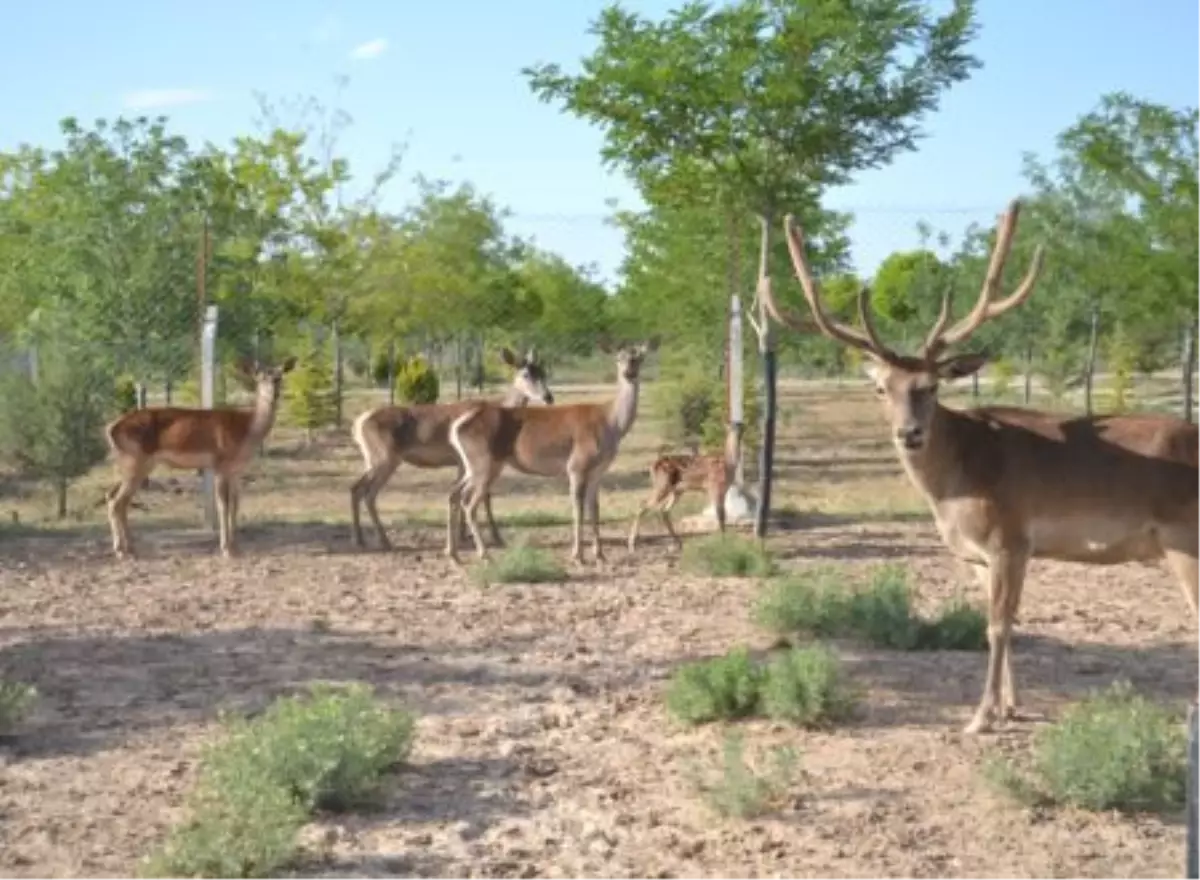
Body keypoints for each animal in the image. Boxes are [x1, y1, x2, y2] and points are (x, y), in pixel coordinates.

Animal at [105, 355, 297, 557]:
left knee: (112, 496)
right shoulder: (220, 464)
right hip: (134, 461)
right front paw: (226, 549)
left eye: (279, 376)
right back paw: (122, 551)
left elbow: (236, 504)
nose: (273, 394)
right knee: (118, 501)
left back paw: (129, 548)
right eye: (259, 378)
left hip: (131, 464)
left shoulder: (237, 470)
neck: (245, 431)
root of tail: (110, 428)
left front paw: (236, 547)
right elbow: (223, 505)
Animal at [348, 345, 552, 552]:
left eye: (543, 372)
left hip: (372, 459)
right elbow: (484, 495)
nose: (548, 397)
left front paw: (463, 534)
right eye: (526, 374)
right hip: (384, 457)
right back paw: (384, 541)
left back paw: (359, 538)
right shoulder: (471, 458)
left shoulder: (461, 461)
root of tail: (358, 423)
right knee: (369, 493)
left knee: (356, 488)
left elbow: (461, 495)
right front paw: (495, 537)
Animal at [448, 336, 662, 561]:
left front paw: (600, 554)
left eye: (639, 357)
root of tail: (458, 425)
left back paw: (454, 553)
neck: (610, 424)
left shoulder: (598, 470)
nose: (629, 373)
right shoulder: (576, 465)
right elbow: (577, 508)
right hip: (484, 465)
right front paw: (578, 555)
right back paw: (484, 554)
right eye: (618, 358)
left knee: (455, 493)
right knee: (469, 504)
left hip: (473, 466)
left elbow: (594, 507)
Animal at [624, 420, 744, 549]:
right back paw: (632, 544)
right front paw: (724, 541)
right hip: (662, 484)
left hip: (676, 490)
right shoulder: (715, 487)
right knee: (644, 504)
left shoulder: (723, 490)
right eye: (731, 425)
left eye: (739, 424)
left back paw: (678, 542)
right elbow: (720, 514)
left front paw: (724, 540)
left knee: (664, 510)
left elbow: (722, 514)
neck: (729, 464)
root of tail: (653, 466)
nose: (738, 428)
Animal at [763, 196, 1200, 734]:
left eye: (930, 386)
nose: (909, 433)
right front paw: (1012, 705)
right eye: (881, 388)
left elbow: (995, 625)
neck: (955, 485)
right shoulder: (977, 555)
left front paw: (981, 717)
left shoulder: (1010, 538)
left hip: (1186, 540)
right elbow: (1007, 622)